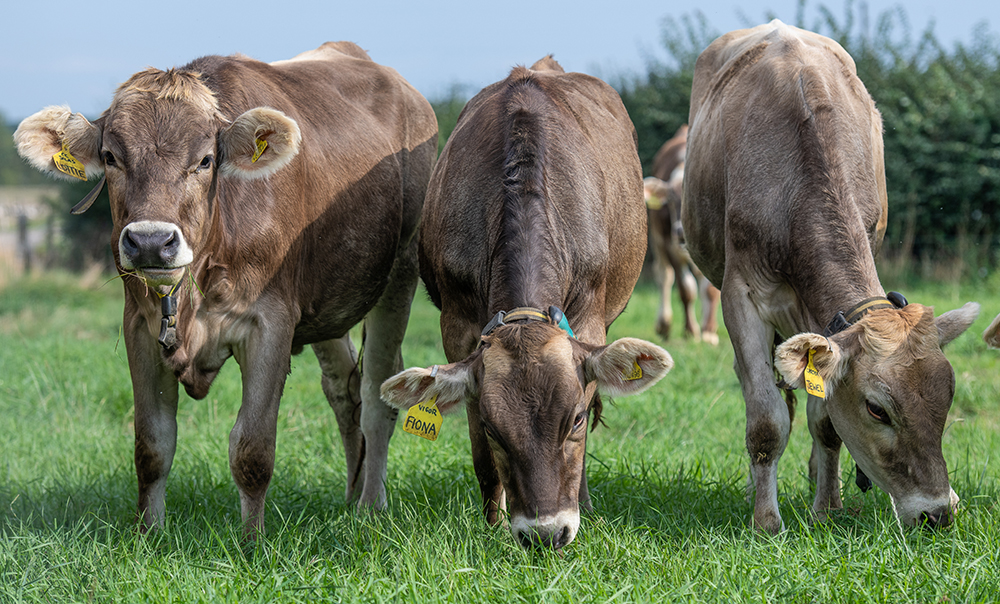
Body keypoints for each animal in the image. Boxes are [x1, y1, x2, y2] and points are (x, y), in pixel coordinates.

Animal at [13, 42, 438, 532]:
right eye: (111, 157)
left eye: (205, 160)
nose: (151, 241)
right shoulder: (139, 327)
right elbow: (152, 446)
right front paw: (149, 534)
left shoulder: (270, 324)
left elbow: (252, 449)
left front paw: (252, 540)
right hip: (330, 306)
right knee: (343, 390)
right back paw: (352, 497)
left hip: (400, 274)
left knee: (375, 395)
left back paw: (370, 506)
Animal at [380, 55, 672, 548]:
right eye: (494, 427)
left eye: (574, 420)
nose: (546, 533)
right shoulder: (457, 324)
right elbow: (481, 458)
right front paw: (493, 527)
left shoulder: (588, 318)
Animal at [644, 122, 724, 344]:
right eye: (671, 199)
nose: (680, 231)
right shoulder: (668, 244)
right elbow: (686, 290)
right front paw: (690, 331)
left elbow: (710, 290)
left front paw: (709, 331)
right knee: (664, 276)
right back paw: (664, 325)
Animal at [684, 21, 980, 532]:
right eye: (877, 409)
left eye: (947, 397)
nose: (937, 512)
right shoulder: (741, 295)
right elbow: (766, 421)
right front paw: (767, 521)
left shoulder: (823, 317)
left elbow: (824, 421)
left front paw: (827, 507)